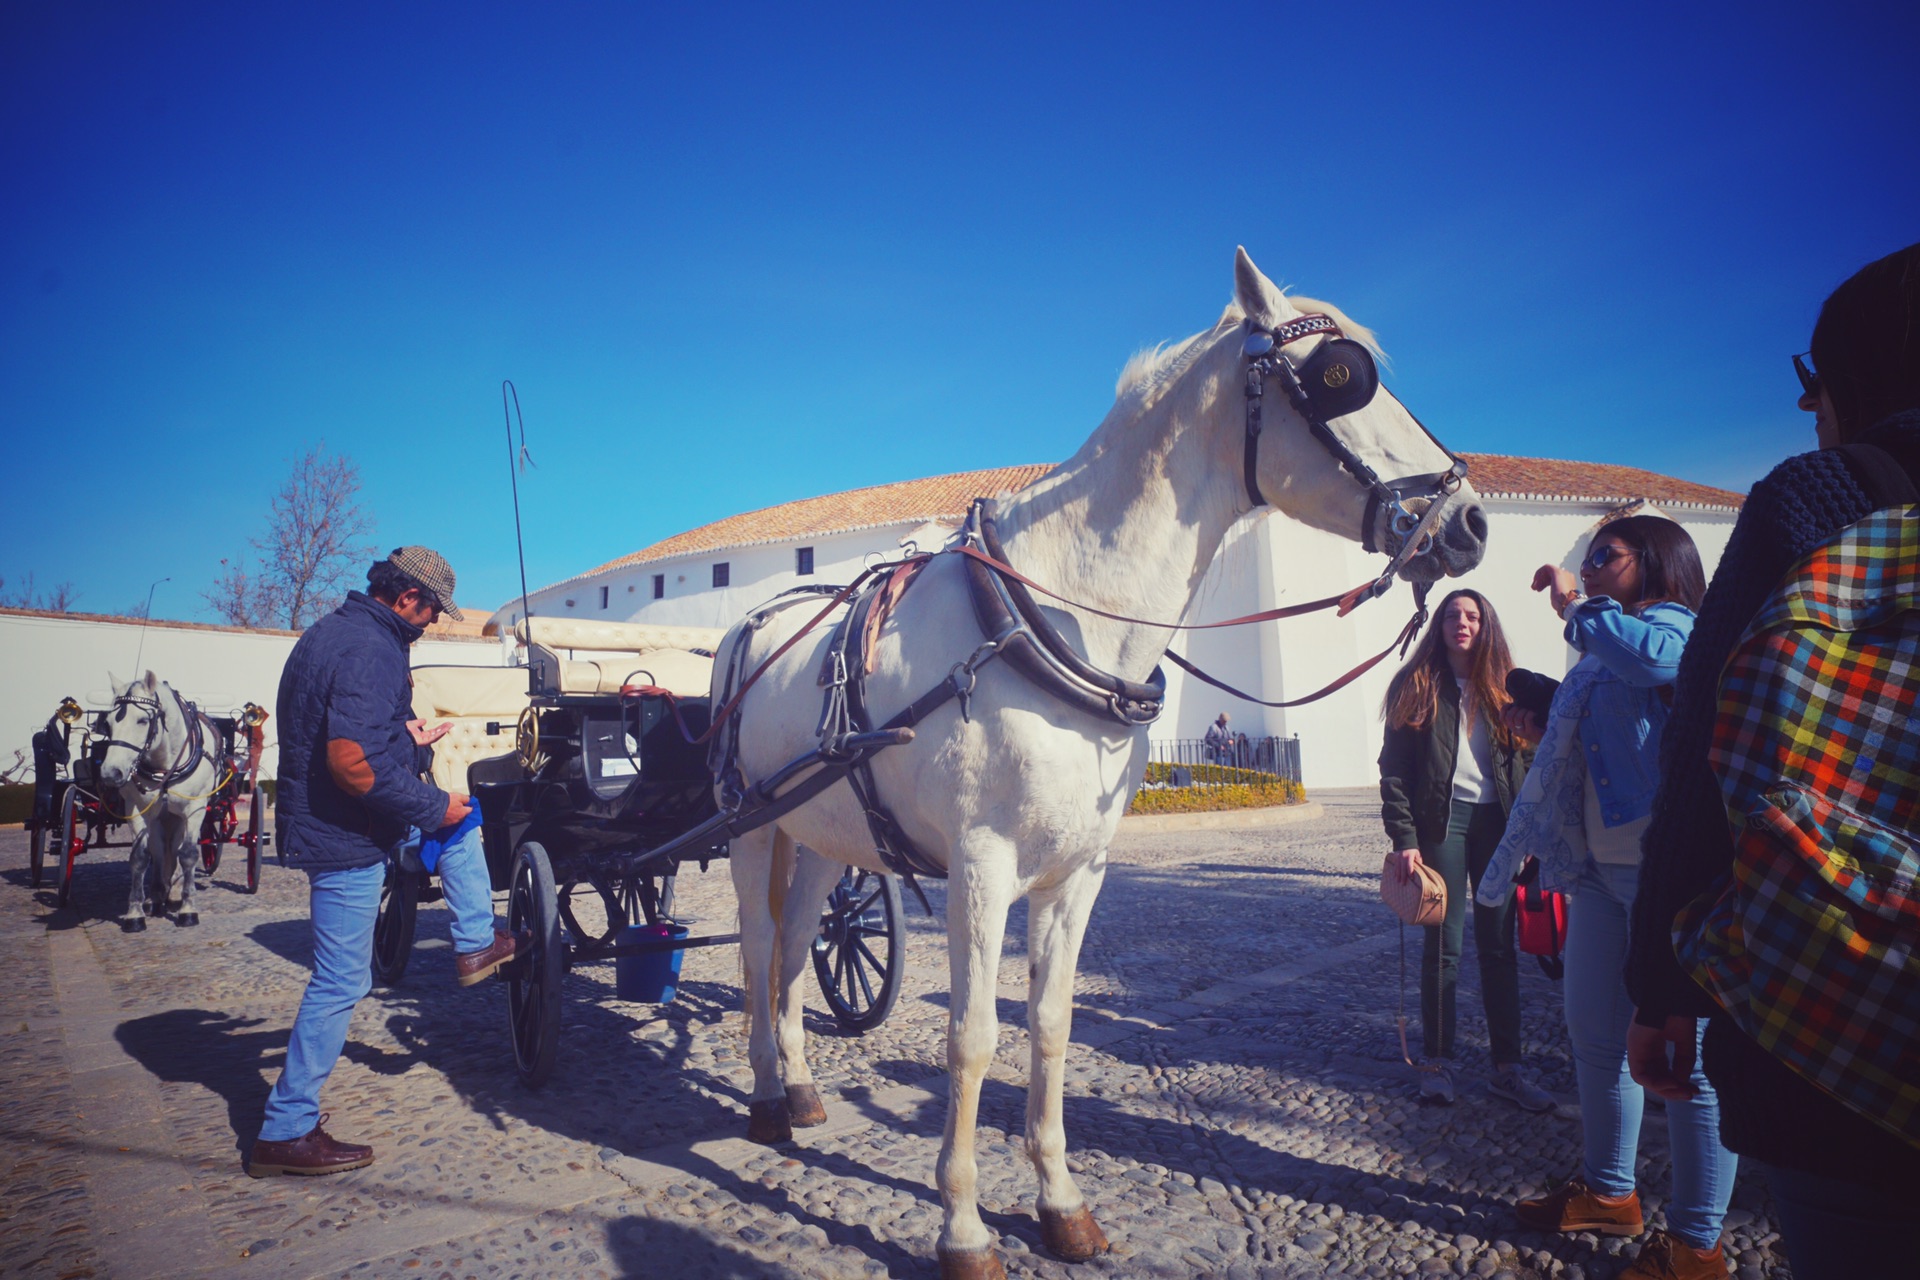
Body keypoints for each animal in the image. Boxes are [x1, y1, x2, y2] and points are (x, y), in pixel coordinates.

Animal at [97, 671, 219, 932]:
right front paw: (135, 913)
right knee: (162, 850)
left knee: (175, 850)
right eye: (108, 723)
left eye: (143, 720)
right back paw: (157, 896)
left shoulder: (195, 809)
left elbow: (188, 854)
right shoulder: (137, 810)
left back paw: (173, 893)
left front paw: (188, 909)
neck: (165, 765)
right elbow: (140, 858)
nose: (110, 773)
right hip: (162, 817)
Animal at [718, 245, 1482, 1274]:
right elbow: (970, 1038)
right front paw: (962, 1225)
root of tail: (756, 622)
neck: (1054, 614)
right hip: (751, 825)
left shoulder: (1078, 872)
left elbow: (1050, 1026)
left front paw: (1059, 1201)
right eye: (1339, 377)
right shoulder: (980, 867)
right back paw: (765, 1096)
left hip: (825, 832)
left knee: (801, 943)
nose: (1471, 520)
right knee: (761, 949)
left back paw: (799, 1086)